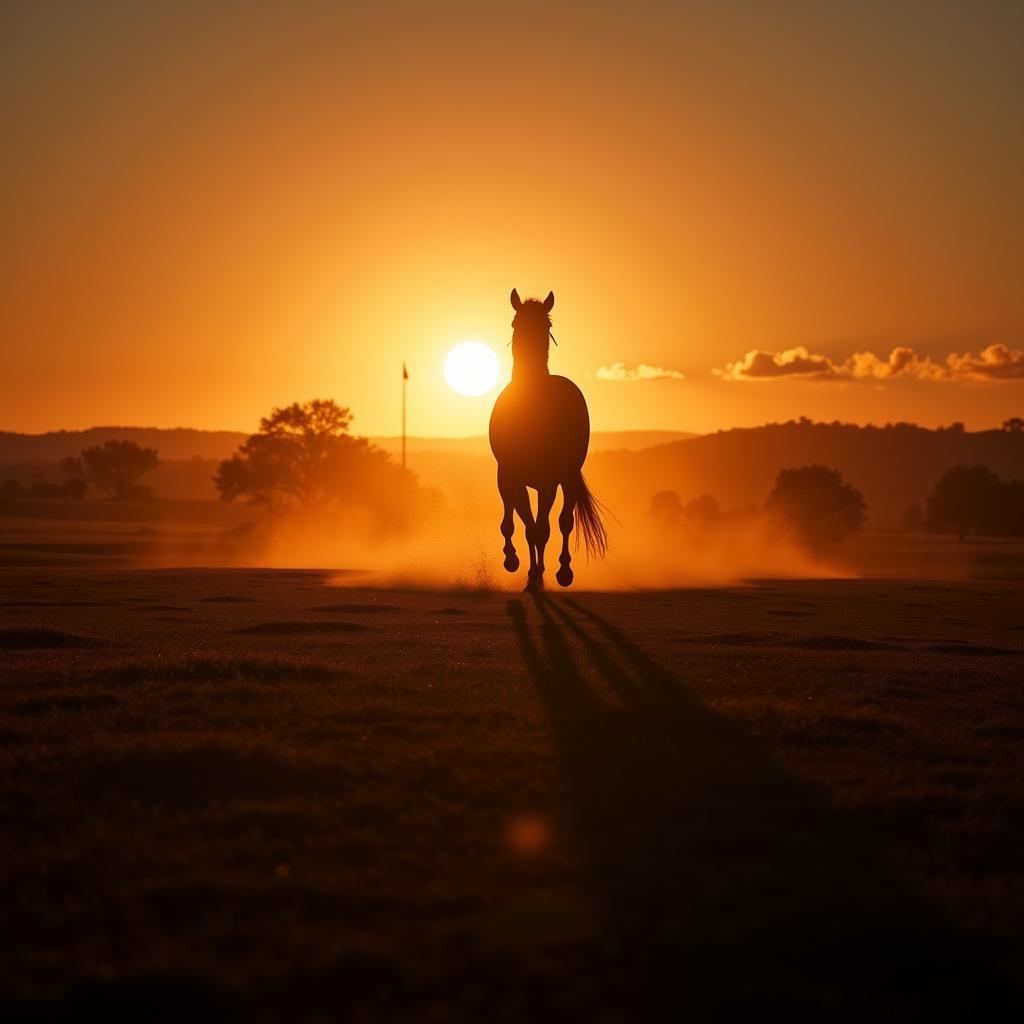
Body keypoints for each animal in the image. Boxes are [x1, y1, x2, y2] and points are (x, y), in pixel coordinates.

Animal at [485, 288, 602, 593]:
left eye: (546, 325)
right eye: (516, 323)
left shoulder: (549, 480)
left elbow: (543, 529)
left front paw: (540, 574)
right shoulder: (508, 475)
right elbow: (517, 525)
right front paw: (515, 564)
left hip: (567, 478)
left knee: (562, 522)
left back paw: (562, 573)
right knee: (535, 526)